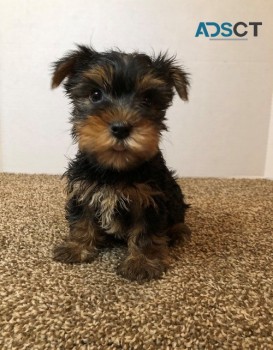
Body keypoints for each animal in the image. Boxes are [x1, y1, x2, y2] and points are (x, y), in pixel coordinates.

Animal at [51, 45, 189, 282]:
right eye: (95, 94)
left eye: (147, 100)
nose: (121, 128)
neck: (115, 169)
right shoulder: (83, 189)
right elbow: (82, 219)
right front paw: (76, 247)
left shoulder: (149, 198)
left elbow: (145, 232)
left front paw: (142, 263)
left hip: (173, 194)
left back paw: (178, 231)